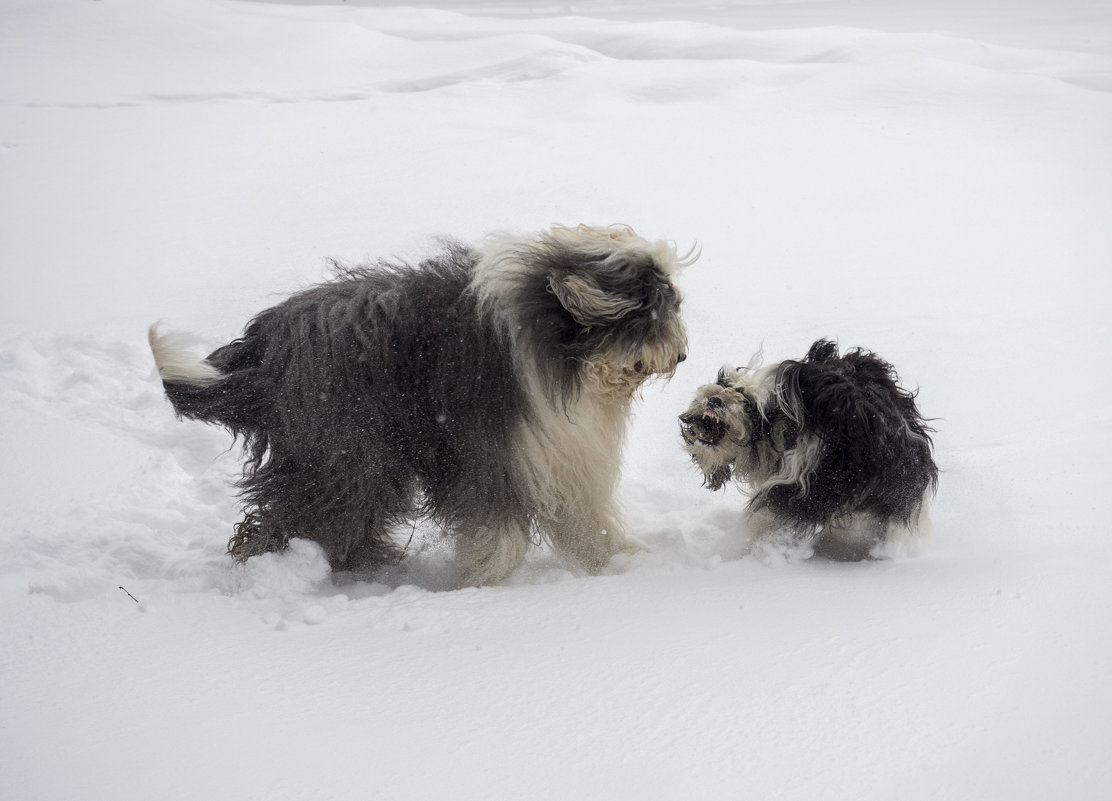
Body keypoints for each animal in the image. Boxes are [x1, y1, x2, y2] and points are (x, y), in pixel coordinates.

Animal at [147, 224, 684, 587]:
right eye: (653, 310)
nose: (681, 356)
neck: (565, 355)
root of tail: (263, 350)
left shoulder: (565, 452)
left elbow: (585, 516)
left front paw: (613, 560)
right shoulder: (491, 450)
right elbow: (499, 525)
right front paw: (483, 581)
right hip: (343, 449)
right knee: (301, 511)